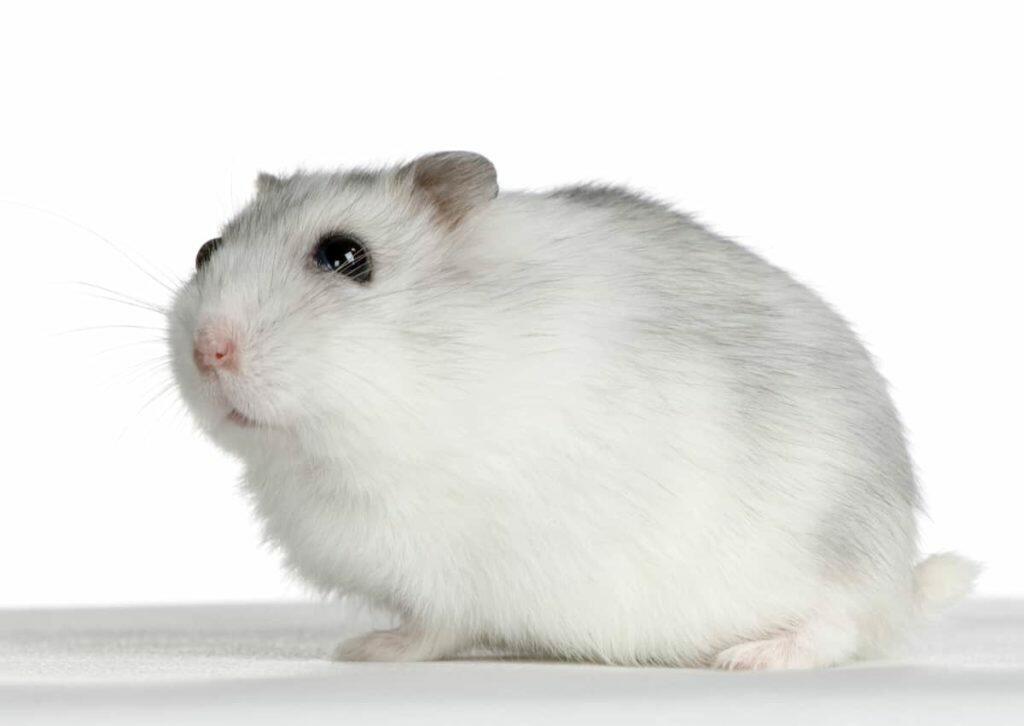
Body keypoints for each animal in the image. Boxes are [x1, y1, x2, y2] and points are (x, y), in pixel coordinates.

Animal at [168, 151, 977, 669]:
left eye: (343, 256)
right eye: (206, 250)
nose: (209, 351)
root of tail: (896, 579)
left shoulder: (444, 569)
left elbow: (429, 629)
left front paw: (363, 652)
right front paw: (359, 646)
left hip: (828, 564)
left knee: (839, 628)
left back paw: (751, 659)